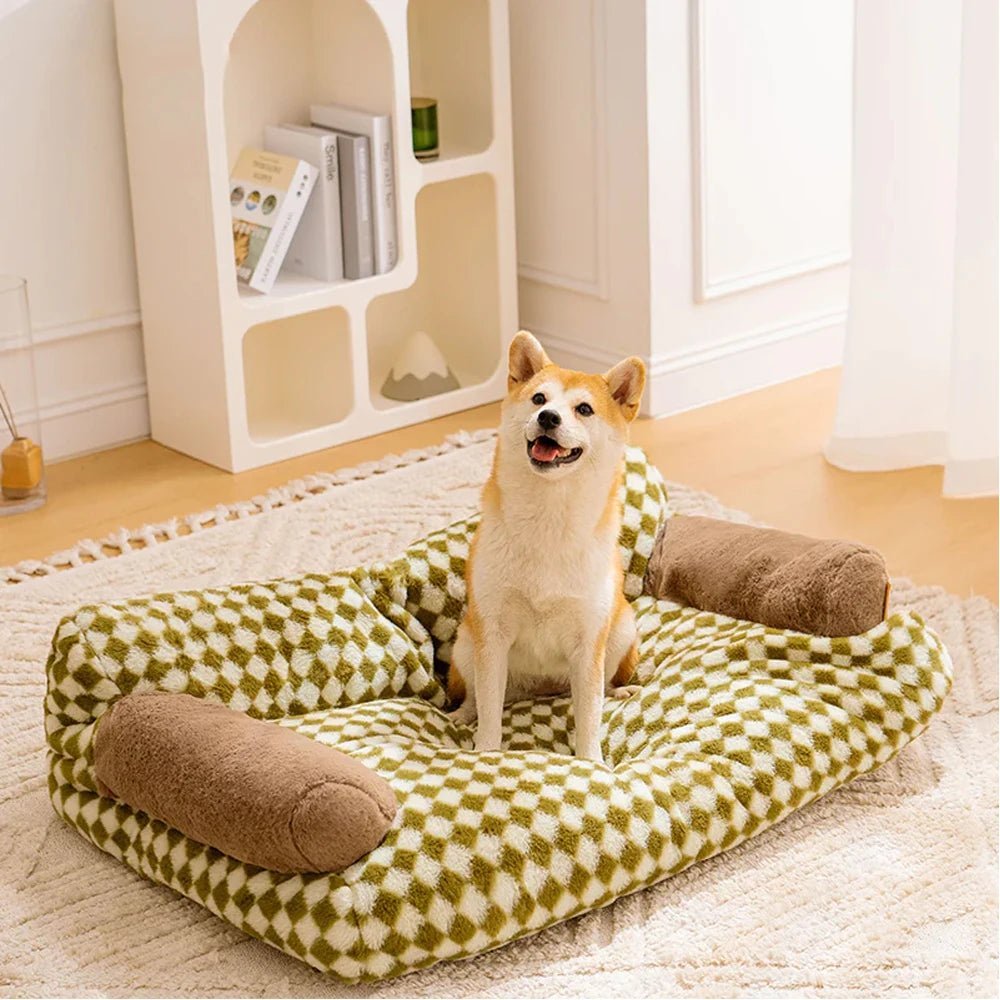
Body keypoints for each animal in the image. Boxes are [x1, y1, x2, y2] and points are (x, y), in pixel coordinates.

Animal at [448, 332, 648, 760]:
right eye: (539, 399)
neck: (548, 518)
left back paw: (620, 690)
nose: (548, 418)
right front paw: (485, 752)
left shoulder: (589, 641)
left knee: (604, 686)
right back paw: (462, 714)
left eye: (584, 409)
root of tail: (540, 690)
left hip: (621, 631)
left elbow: (590, 715)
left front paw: (591, 762)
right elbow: (489, 709)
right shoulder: (493, 633)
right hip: (466, 642)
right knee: (475, 694)